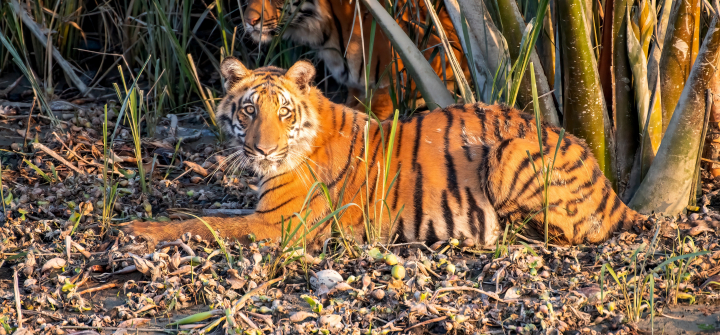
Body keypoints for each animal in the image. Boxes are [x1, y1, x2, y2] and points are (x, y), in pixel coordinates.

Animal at [119, 58, 648, 252]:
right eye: (249, 110)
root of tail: (612, 191)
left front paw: (139, 231)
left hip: (510, 151)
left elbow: (205, 224)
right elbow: (201, 214)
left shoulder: (279, 224)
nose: (262, 149)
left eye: (283, 113)